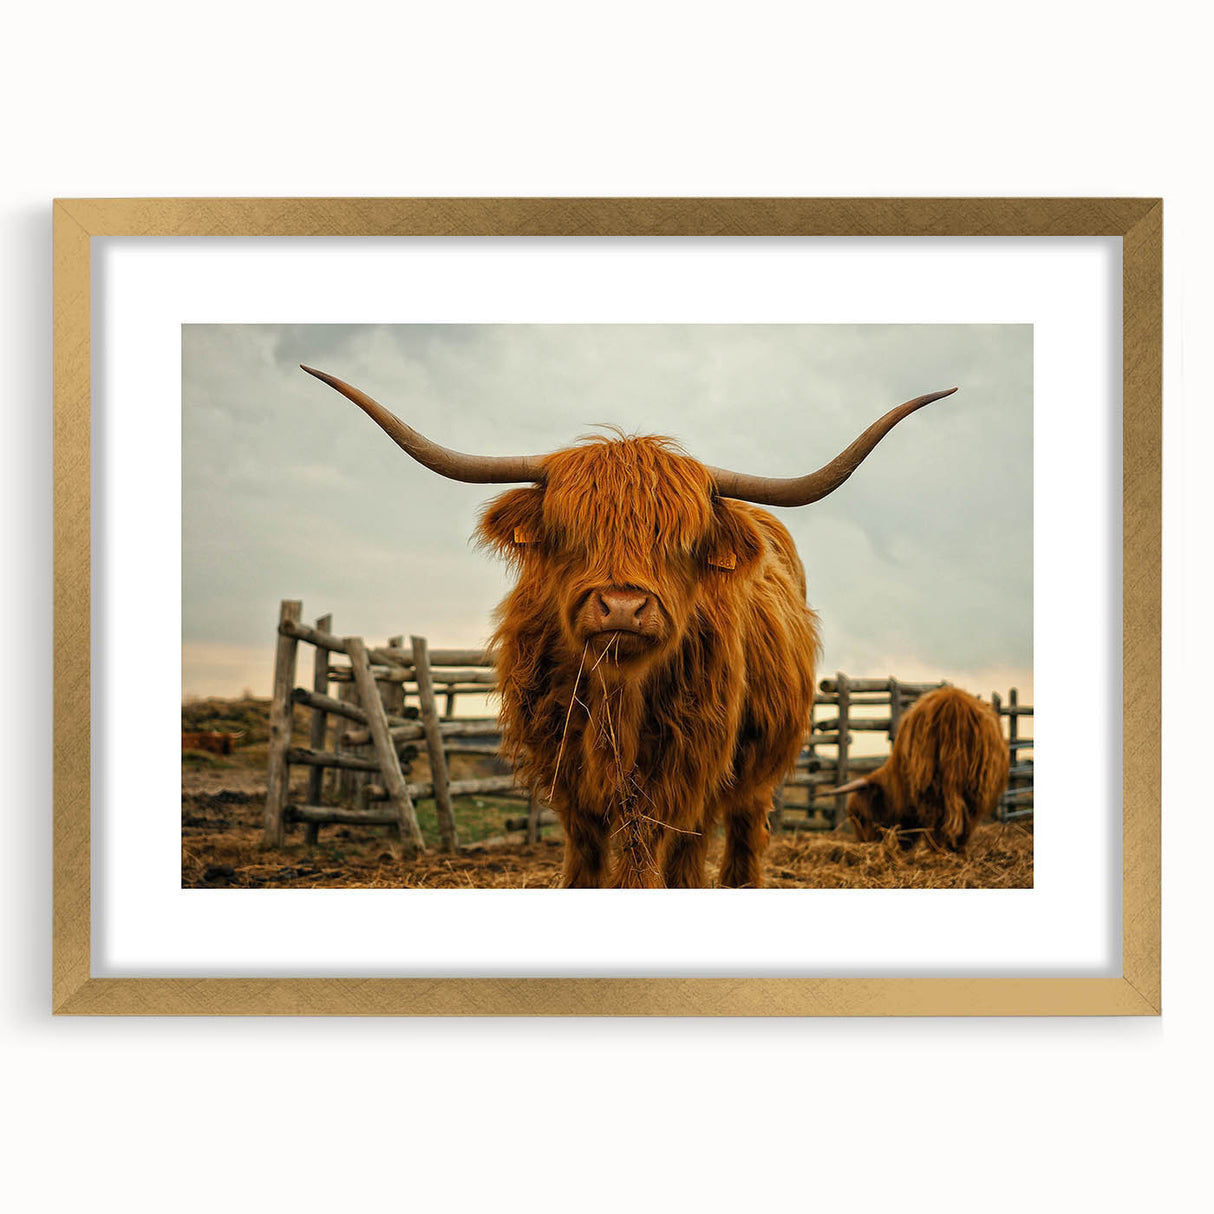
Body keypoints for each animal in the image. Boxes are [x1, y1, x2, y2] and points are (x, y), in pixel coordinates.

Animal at [302, 364, 956, 887]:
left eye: (681, 542)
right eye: (570, 533)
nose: (621, 607)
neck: (617, 698)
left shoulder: (682, 777)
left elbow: (658, 861)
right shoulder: (568, 780)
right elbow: (587, 862)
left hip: (753, 774)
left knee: (734, 842)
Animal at [831, 686, 1009, 854]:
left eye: (861, 817)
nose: (865, 844)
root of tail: (953, 703)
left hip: (929, 782)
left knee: (937, 817)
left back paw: (937, 850)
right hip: (975, 785)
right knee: (965, 819)